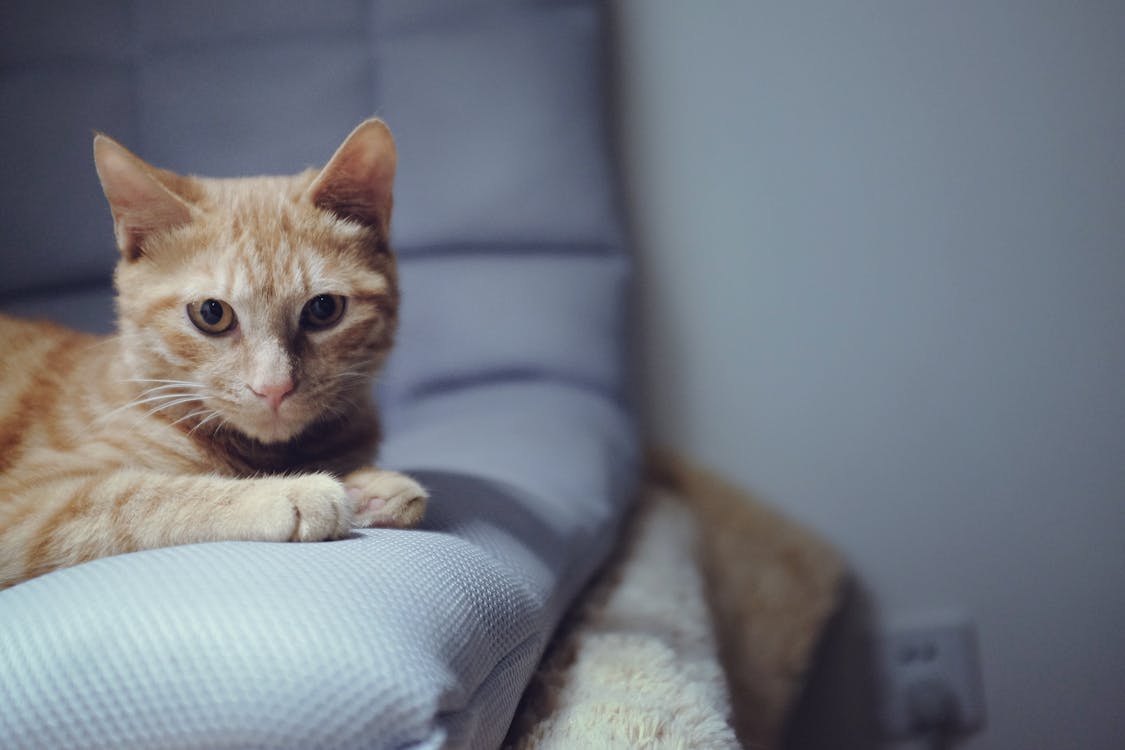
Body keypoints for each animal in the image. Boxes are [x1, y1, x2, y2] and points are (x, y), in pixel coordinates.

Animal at [0, 117, 425, 589]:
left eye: (323, 309)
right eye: (211, 313)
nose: (274, 387)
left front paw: (368, 489)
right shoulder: (24, 506)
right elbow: (133, 496)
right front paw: (285, 493)